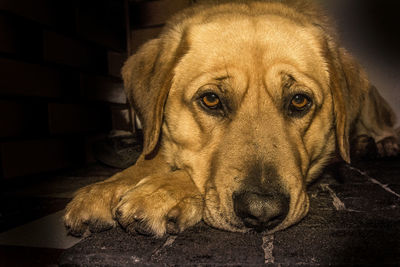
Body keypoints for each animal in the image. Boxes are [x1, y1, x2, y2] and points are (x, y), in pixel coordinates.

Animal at [64, 0, 398, 239]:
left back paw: (379, 143)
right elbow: (151, 156)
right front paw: (109, 186)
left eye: (299, 101)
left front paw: (161, 192)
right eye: (211, 100)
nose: (262, 212)